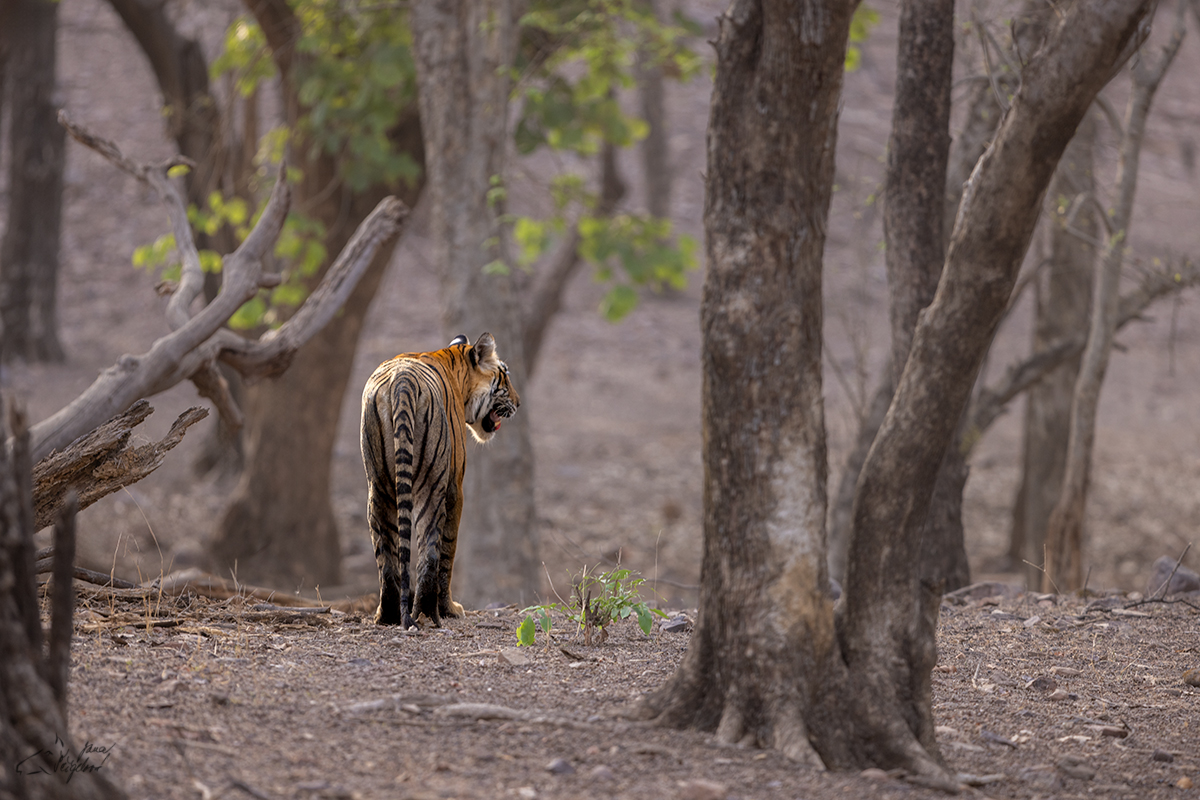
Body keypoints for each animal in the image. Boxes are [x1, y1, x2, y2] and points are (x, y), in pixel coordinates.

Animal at [360, 331, 520, 623]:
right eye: (505, 376)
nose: (518, 403)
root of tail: (402, 381)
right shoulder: (455, 485)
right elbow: (449, 548)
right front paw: (451, 608)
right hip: (432, 483)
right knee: (430, 550)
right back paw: (430, 612)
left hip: (378, 484)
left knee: (385, 552)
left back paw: (388, 614)